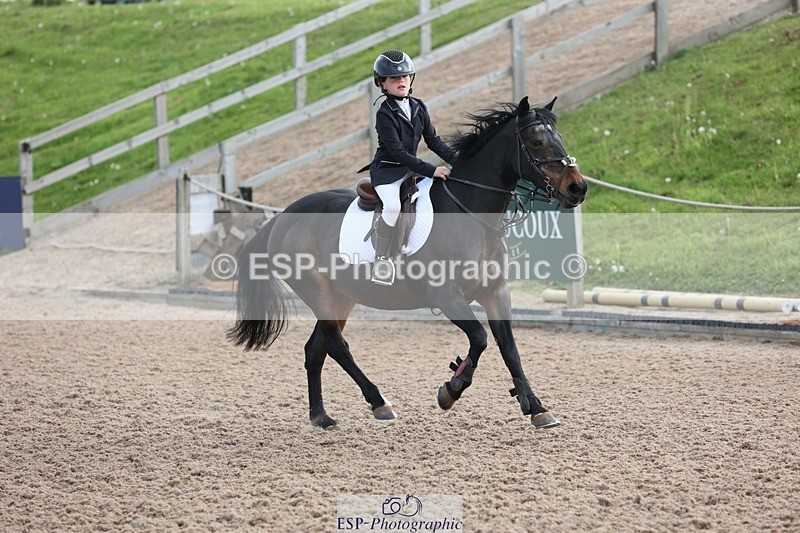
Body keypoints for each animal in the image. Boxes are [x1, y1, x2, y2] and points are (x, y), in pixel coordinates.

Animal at [227, 96, 587, 429]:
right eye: (536, 142)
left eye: (559, 137)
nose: (577, 188)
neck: (471, 213)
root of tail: (283, 215)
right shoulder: (447, 296)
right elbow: (480, 339)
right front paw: (451, 389)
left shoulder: (496, 293)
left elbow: (509, 349)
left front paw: (537, 408)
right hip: (317, 291)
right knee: (337, 346)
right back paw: (379, 403)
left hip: (341, 296)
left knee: (316, 350)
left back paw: (321, 416)